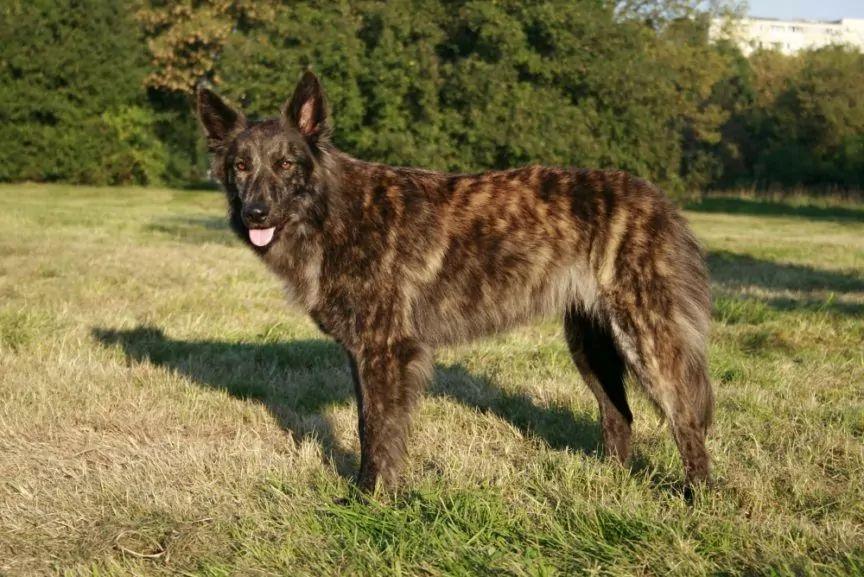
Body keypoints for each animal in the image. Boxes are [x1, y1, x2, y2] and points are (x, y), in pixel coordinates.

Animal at [197, 68, 716, 490]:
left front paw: (371, 500)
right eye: (240, 166)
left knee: (685, 419)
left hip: (645, 339)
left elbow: (379, 431)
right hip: (590, 346)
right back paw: (610, 486)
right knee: (618, 414)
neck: (330, 212)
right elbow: (369, 427)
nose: (255, 213)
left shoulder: (385, 351)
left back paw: (697, 498)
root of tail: (659, 200)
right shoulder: (362, 354)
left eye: (286, 163)